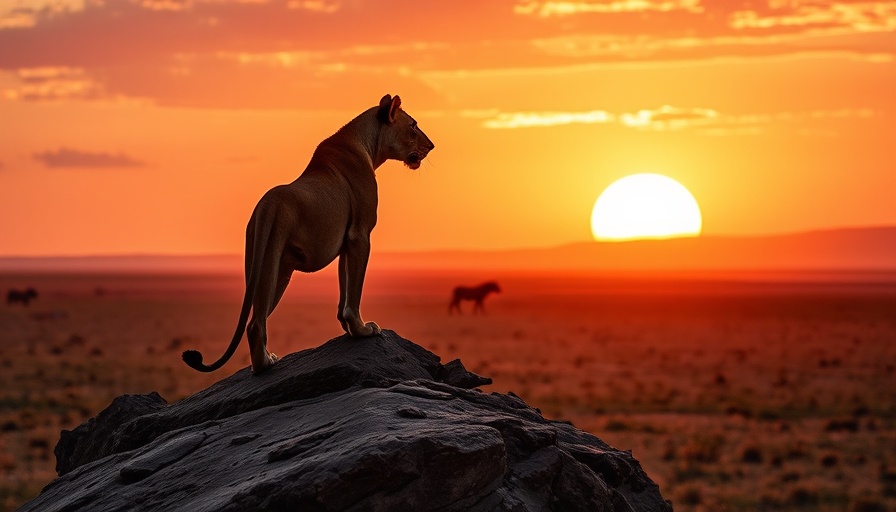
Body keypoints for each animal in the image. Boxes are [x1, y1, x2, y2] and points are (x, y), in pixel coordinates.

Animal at [182, 94, 434, 374]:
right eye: (413, 125)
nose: (432, 146)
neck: (366, 144)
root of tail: (264, 206)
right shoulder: (360, 235)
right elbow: (354, 291)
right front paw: (362, 330)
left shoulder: (347, 243)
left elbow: (344, 288)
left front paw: (349, 329)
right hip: (271, 261)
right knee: (255, 323)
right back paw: (265, 364)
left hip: (269, 269)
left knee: (256, 317)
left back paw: (266, 360)